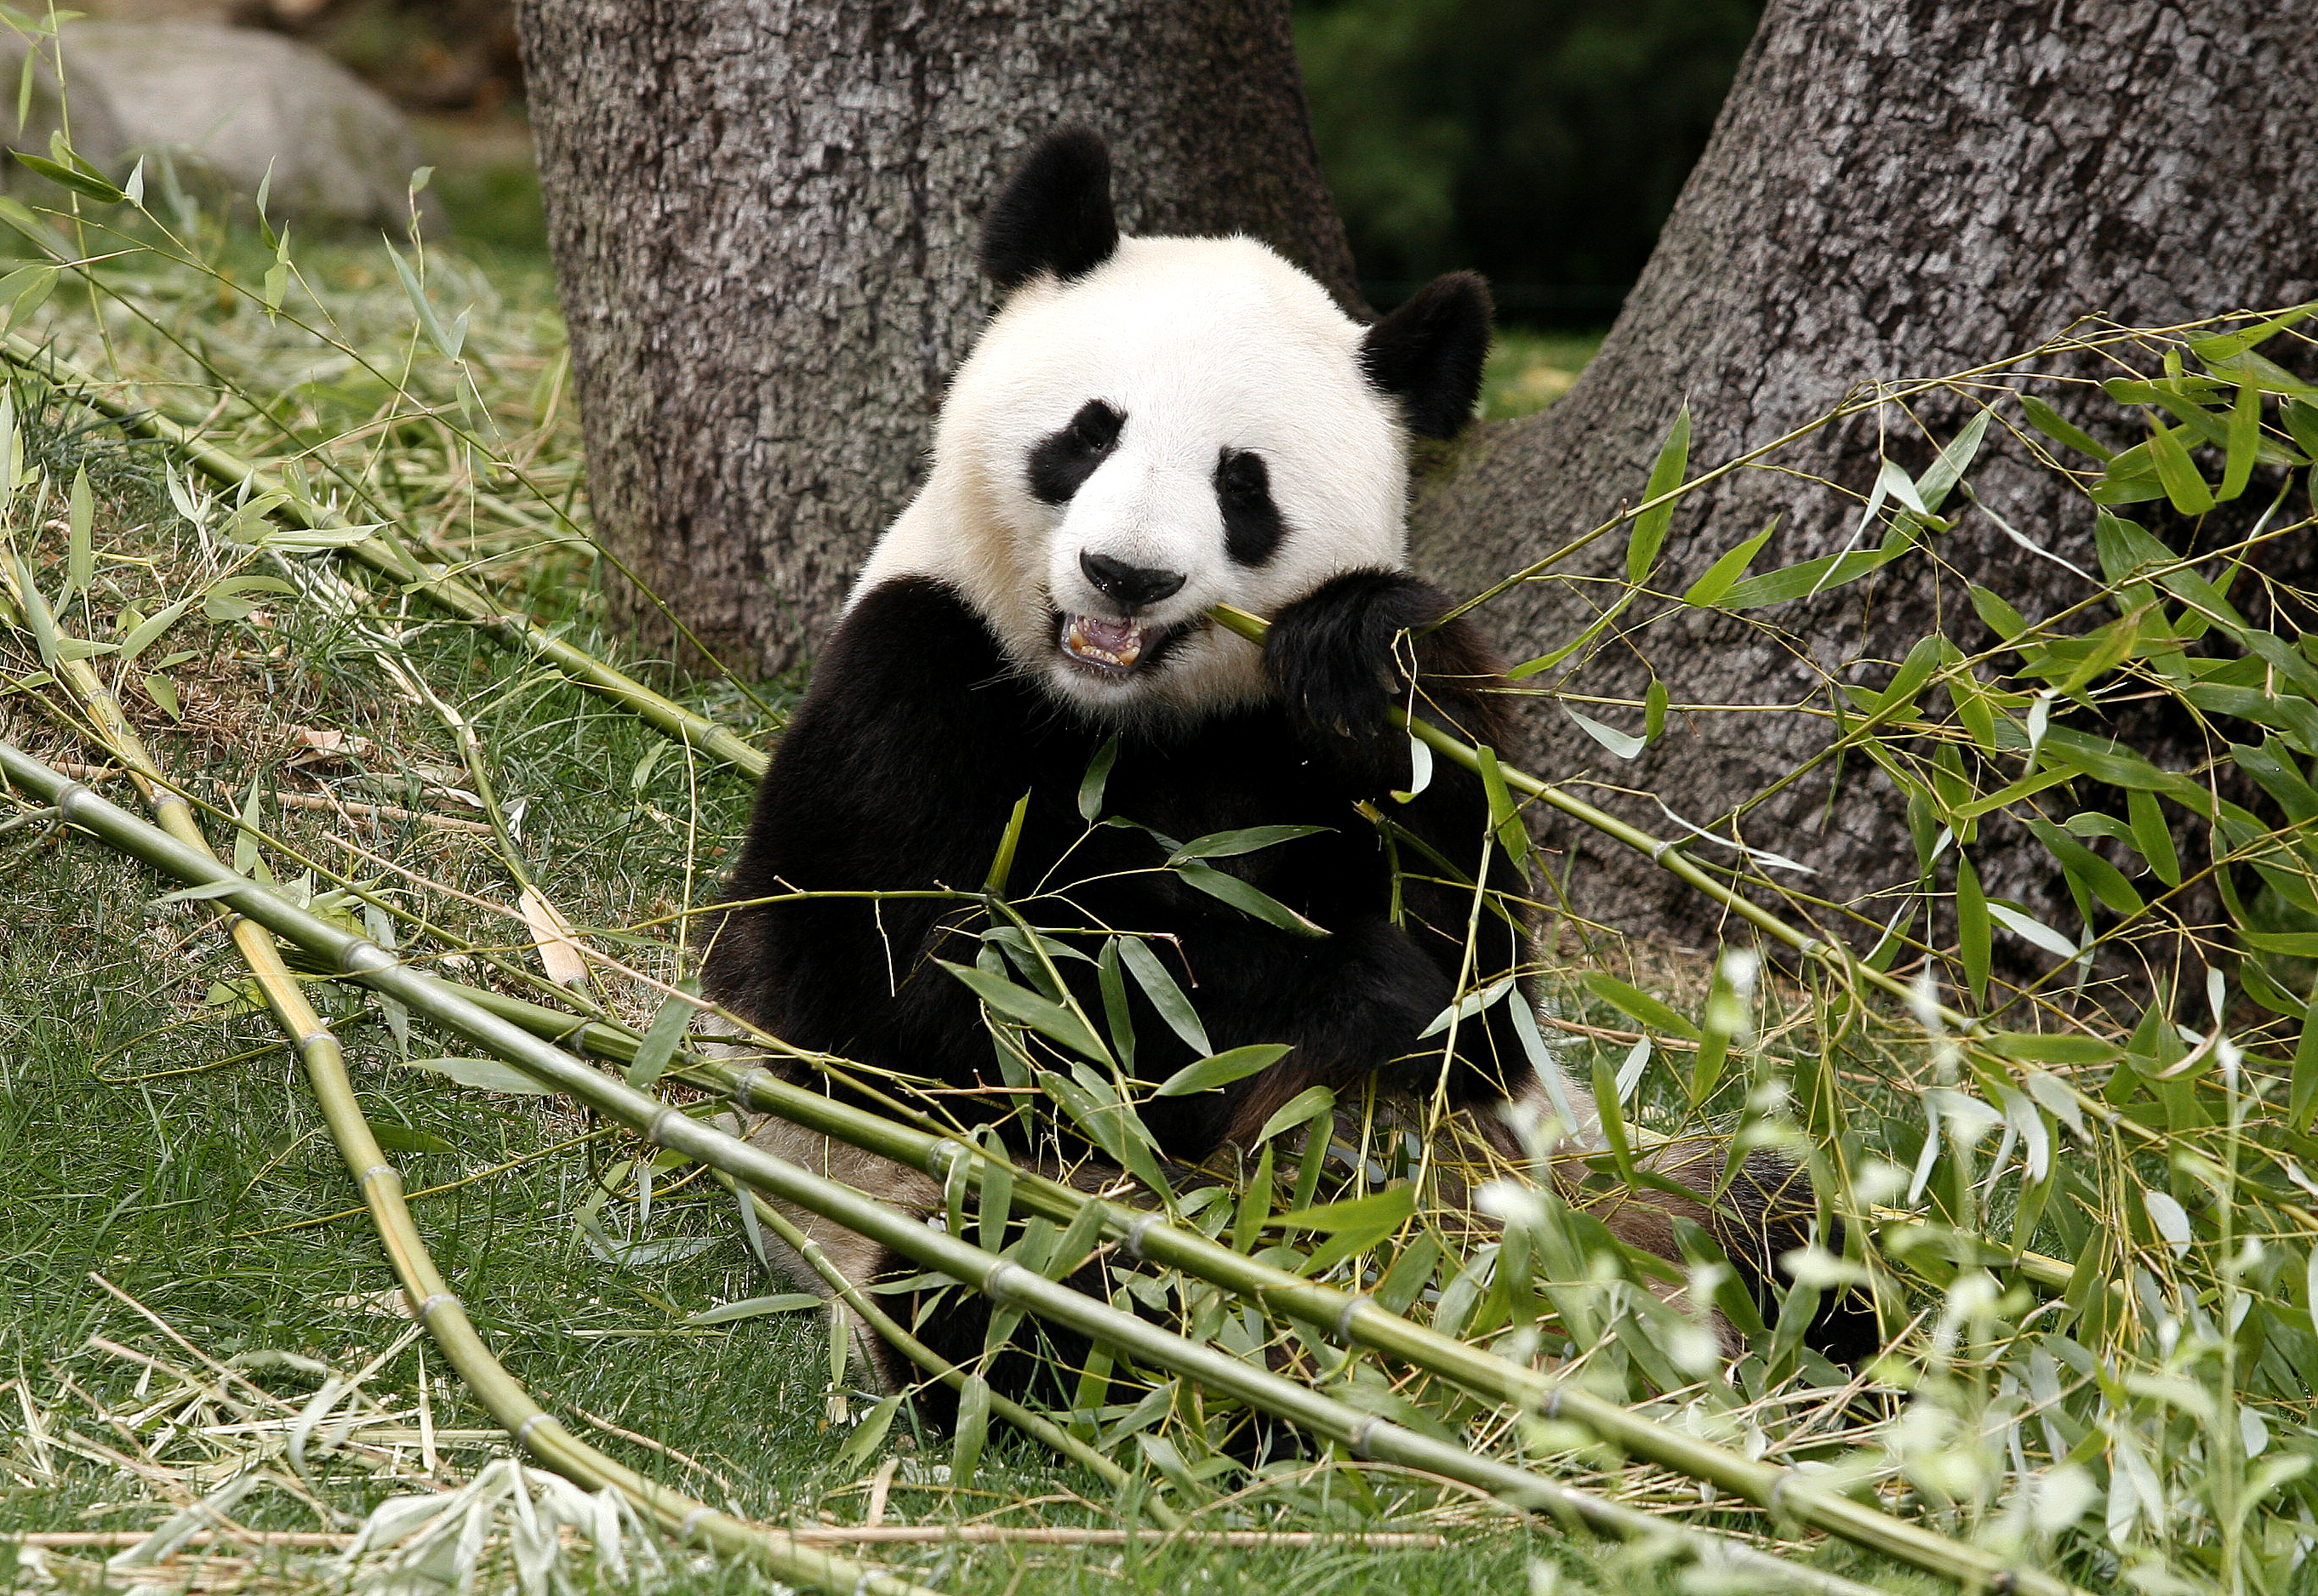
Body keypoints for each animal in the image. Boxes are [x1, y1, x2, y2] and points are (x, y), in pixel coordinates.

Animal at [699, 124, 1864, 1417]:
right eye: (1089, 432)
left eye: (1241, 482)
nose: (1126, 575)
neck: (1130, 714)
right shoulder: (915, 670)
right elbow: (911, 991)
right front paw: (1341, 991)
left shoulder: (1292, 755)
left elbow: (1483, 974)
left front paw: (1364, 659)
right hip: (974, 1215)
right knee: (1049, 1312)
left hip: (1618, 1181)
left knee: (1790, 1213)